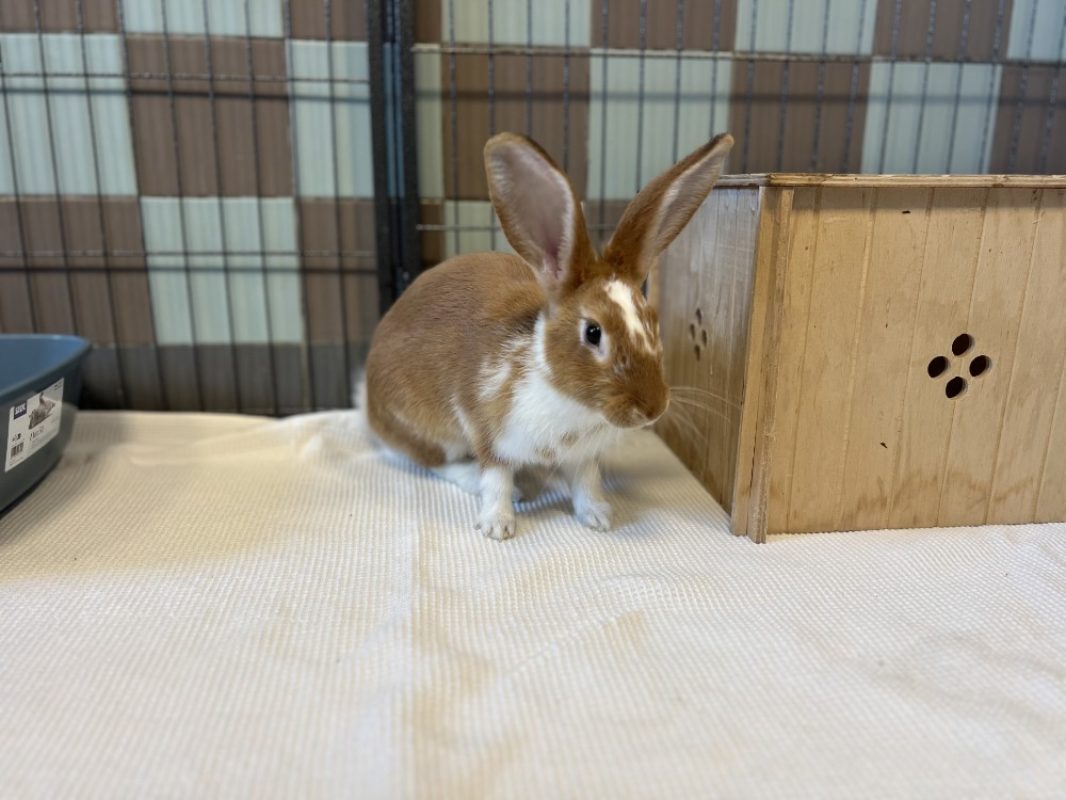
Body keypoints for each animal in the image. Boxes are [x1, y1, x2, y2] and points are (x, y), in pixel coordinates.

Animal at [364, 131, 734, 540]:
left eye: (653, 321)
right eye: (593, 333)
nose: (652, 409)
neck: (568, 400)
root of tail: (369, 408)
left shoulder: (582, 455)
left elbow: (587, 481)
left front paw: (599, 517)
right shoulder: (490, 433)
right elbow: (496, 479)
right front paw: (497, 526)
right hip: (428, 429)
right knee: (433, 462)